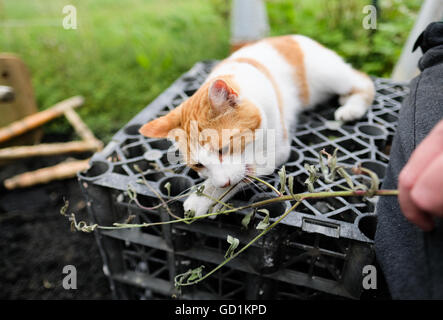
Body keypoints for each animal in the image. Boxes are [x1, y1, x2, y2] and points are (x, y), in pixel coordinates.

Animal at [139, 35, 374, 218]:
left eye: (223, 149)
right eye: (198, 165)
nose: (222, 182)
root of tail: (294, 37)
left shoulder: (277, 151)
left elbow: (241, 177)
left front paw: (203, 198)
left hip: (329, 75)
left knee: (363, 80)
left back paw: (351, 107)